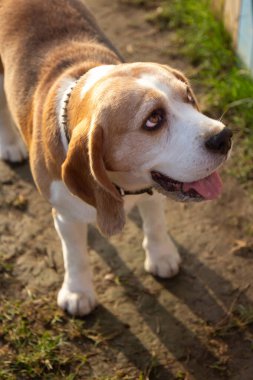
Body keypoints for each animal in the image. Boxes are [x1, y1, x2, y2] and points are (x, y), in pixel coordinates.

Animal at [0, 0, 231, 314]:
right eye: (153, 119)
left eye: (189, 97)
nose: (224, 137)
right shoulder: (65, 215)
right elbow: (75, 255)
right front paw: (77, 292)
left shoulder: (153, 189)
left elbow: (155, 223)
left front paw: (161, 255)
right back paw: (11, 144)